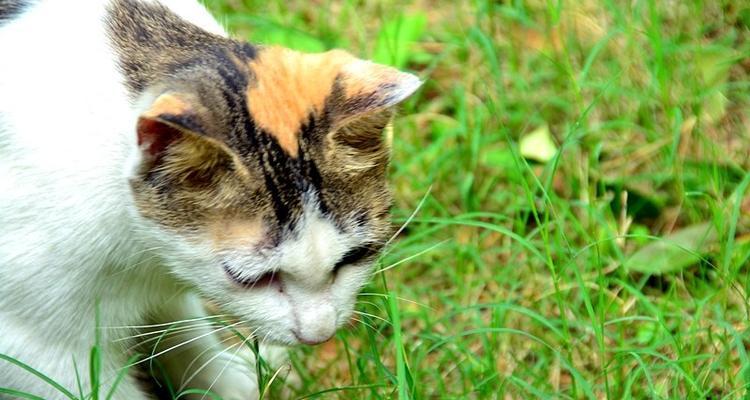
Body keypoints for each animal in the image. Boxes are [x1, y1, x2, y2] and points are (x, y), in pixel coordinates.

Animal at [0, 1, 424, 398]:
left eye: (354, 257)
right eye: (249, 278)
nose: (318, 334)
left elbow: (183, 332)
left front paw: (227, 386)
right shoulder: (37, 347)